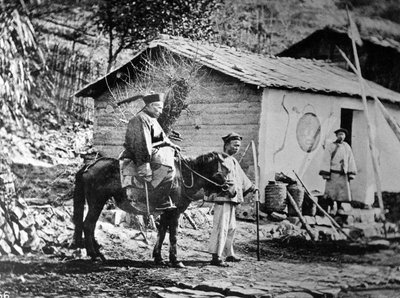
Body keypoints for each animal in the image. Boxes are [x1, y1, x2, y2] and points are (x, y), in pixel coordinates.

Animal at [70, 152, 236, 266]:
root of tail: (90, 166)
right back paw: (94, 255)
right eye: (220, 172)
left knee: (89, 226)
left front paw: (158, 257)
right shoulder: (174, 213)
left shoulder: (166, 213)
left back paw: (98, 254)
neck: (183, 178)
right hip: (97, 202)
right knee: (88, 225)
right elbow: (173, 236)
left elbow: (161, 234)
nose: (233, 191)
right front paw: (175, 260)